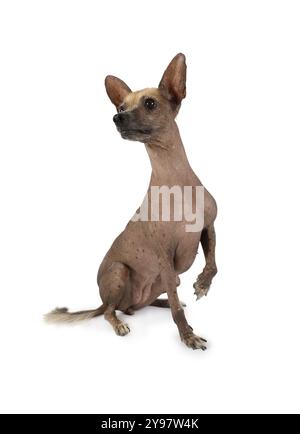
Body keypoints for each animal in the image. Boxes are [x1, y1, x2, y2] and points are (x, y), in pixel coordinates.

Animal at [45, 53, 217, 350]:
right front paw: (187, 335)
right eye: (122, 105)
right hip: (119, 271)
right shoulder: (164, 257)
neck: (177, 182)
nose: (117, 116)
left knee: (139, 304)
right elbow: (178, 310)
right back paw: (120, 322)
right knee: (111, 311)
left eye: (150, 103)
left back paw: (158, 302)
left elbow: (214, 264)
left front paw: (203, 284)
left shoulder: (208, 228)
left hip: (163, 280)